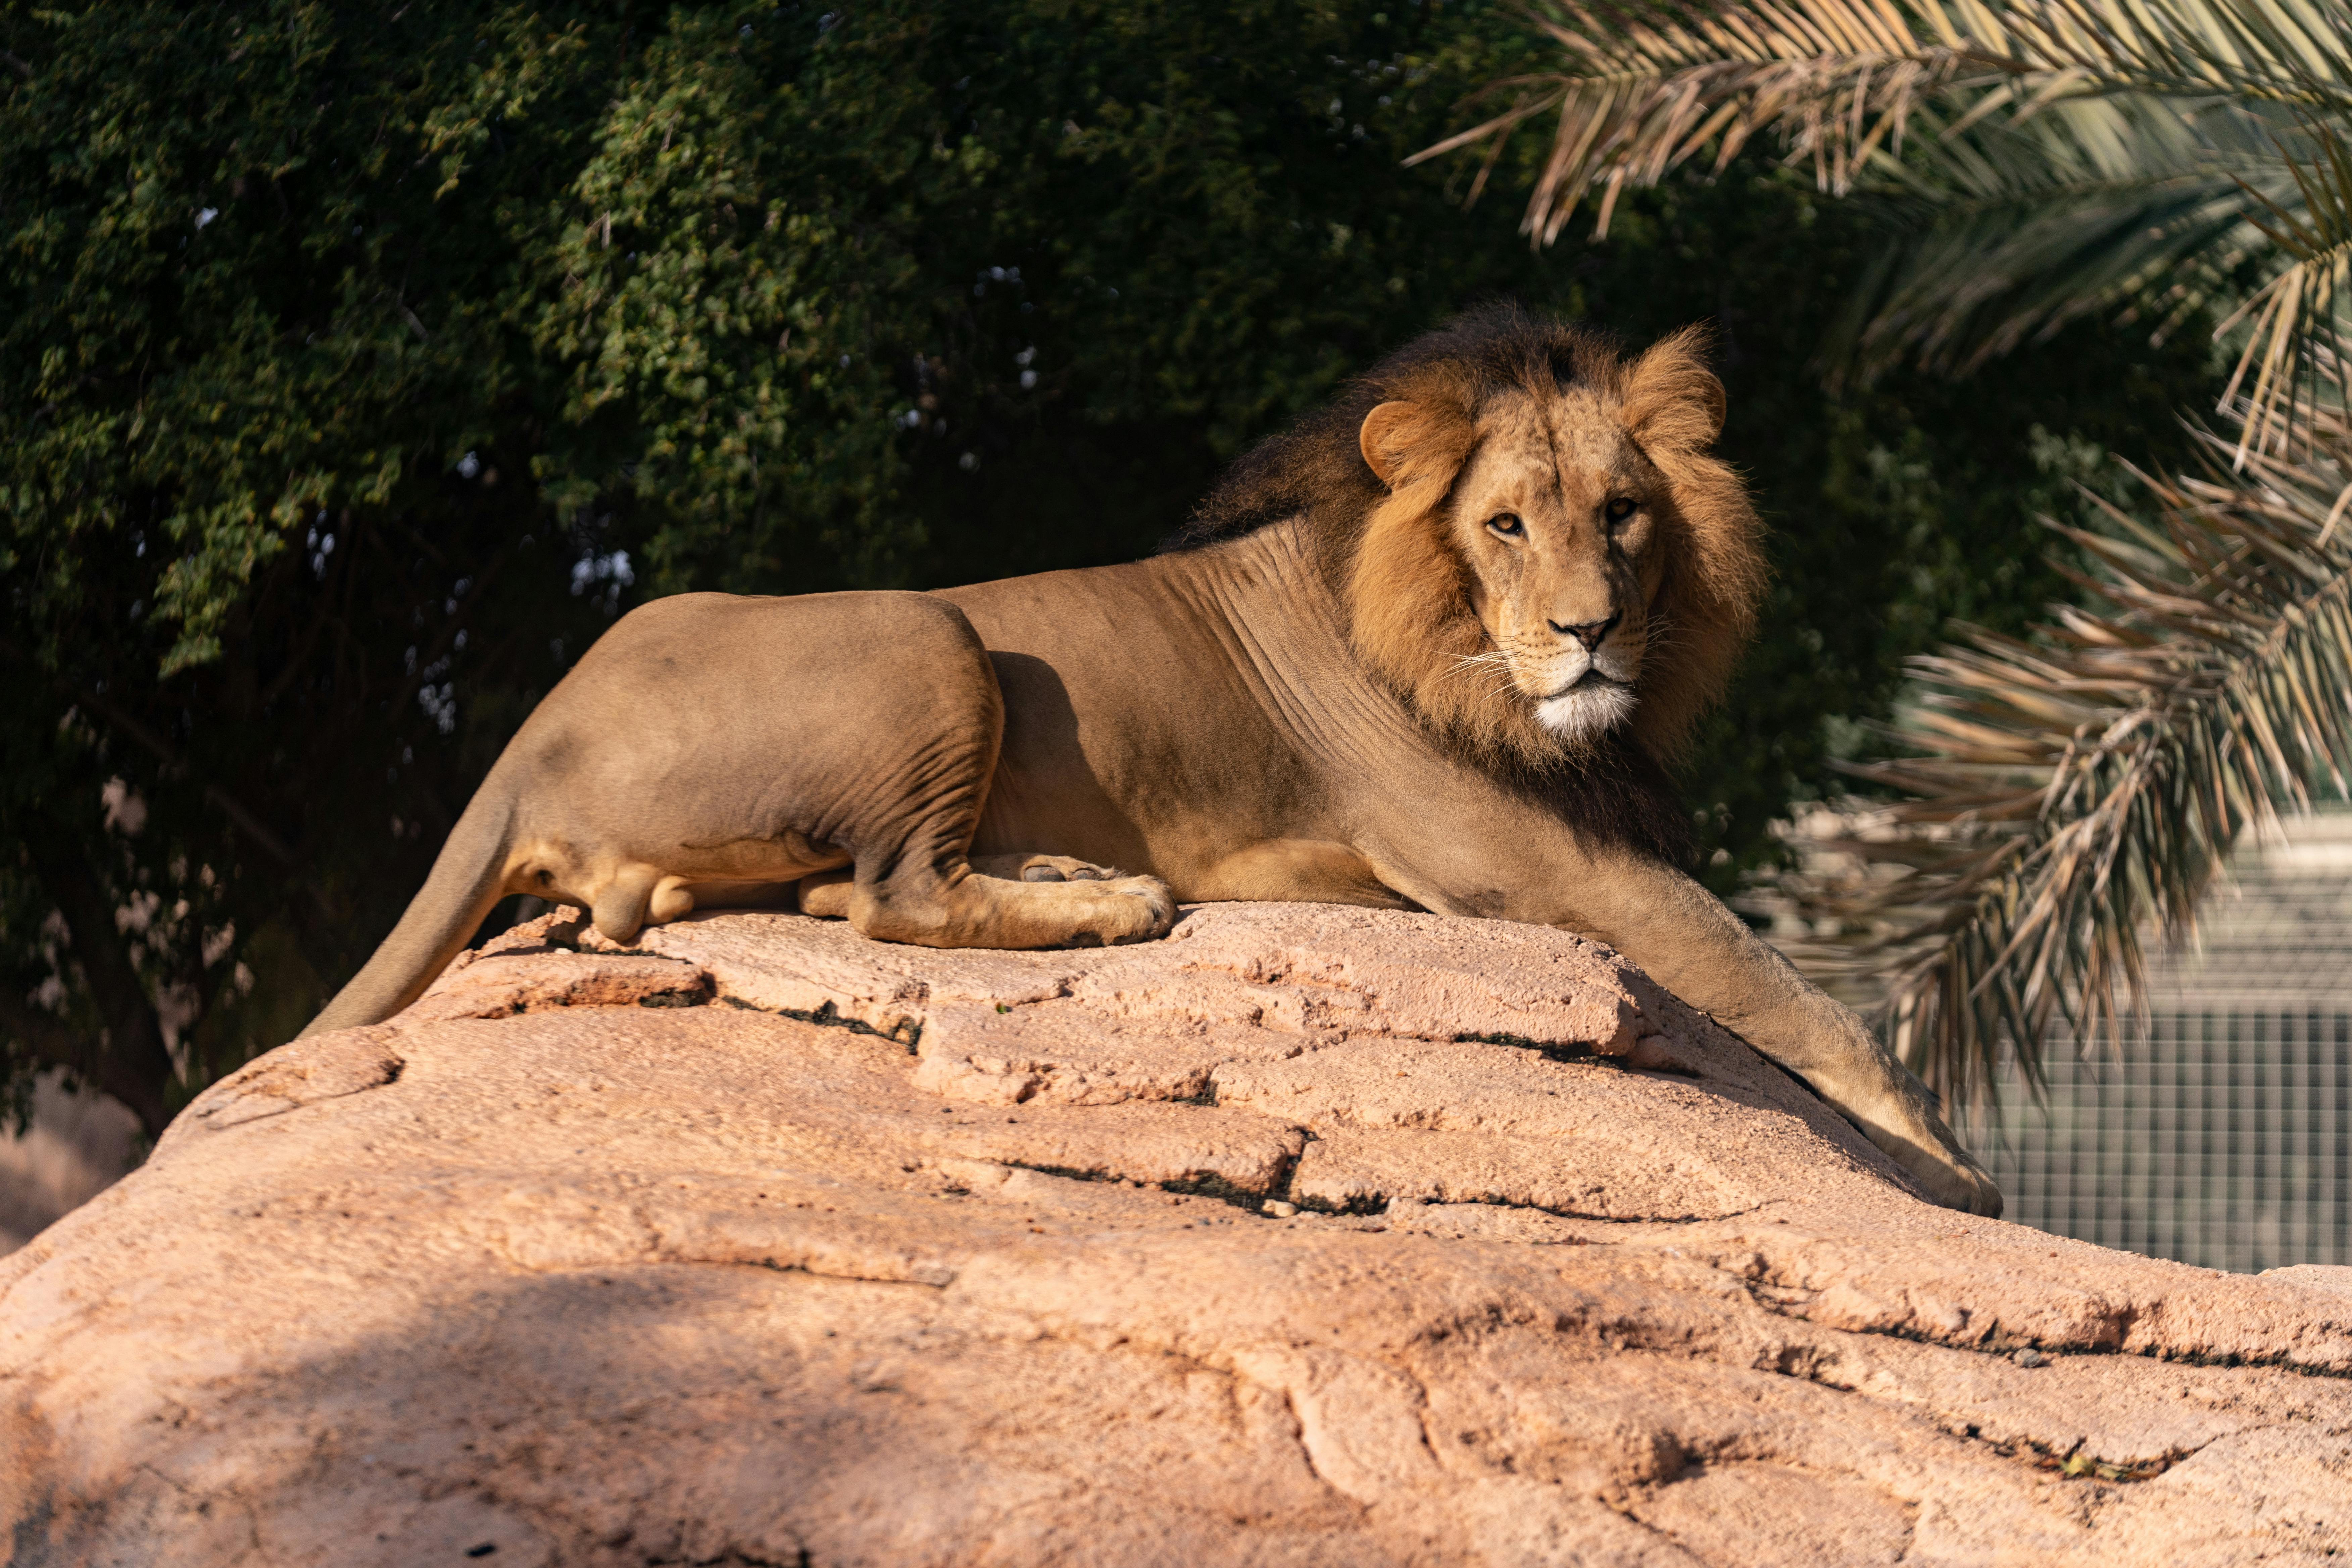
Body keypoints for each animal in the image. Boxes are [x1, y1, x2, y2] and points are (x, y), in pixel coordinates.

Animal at [303, 303, 2004, 1213]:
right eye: (1508, 523)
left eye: (1626, 514)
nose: (1589, 635)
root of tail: (527, 730)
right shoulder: (1533, 859)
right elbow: (1794, 993)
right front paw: (1957, 1174)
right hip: (927, 628)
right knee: (891, 894)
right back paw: (1109, 900)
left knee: (774, 897)